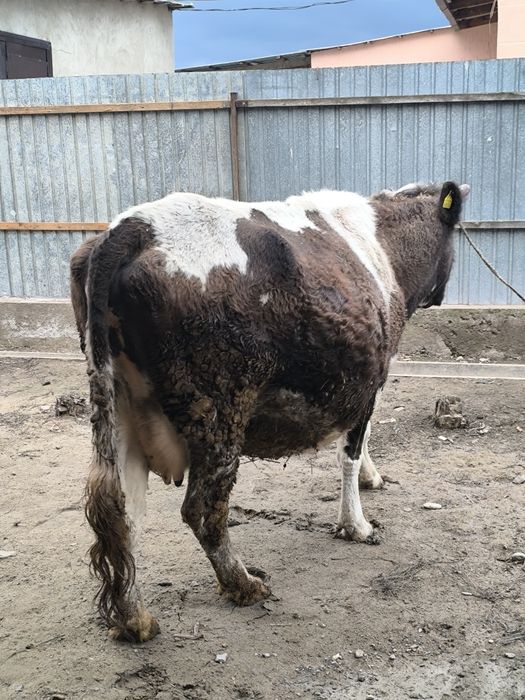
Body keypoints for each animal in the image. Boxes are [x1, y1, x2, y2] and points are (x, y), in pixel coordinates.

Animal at [70, 181, 469, 642]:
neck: (380, 244)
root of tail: (132, 227)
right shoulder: (372, 378)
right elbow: (351, 449)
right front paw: (357, 523)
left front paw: (371, 480)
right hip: (220, 412)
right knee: (202, 510)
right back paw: (242, 584)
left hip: (117, 408)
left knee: (119, 511)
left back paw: (134, 617)